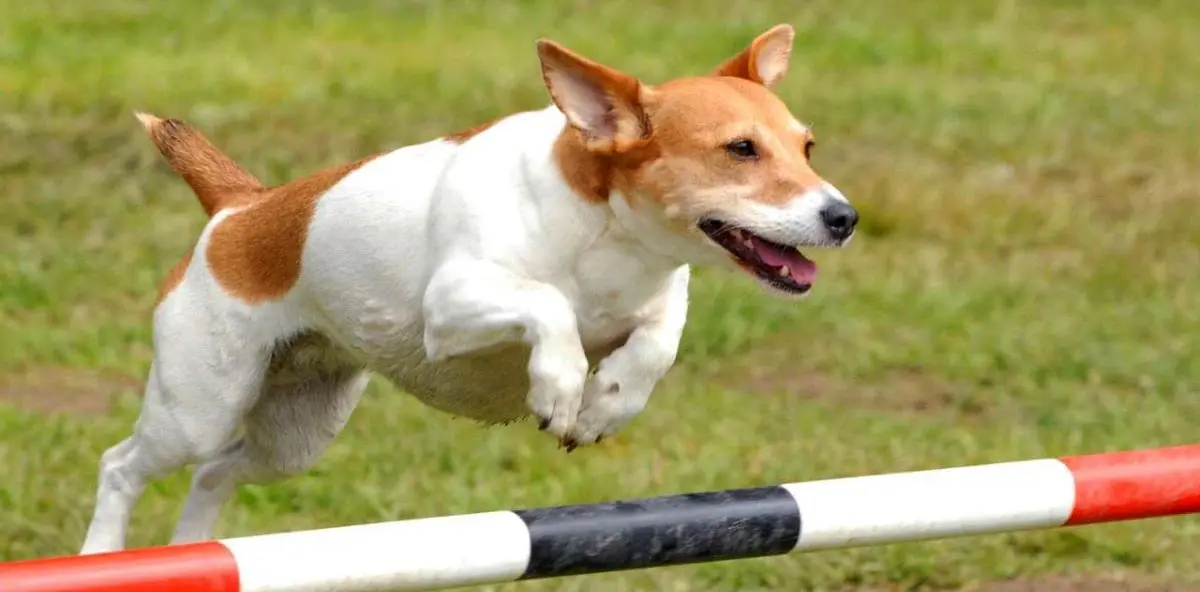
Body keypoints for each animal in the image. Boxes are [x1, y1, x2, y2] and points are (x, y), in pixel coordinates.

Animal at [79, 20, 859, 552]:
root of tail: (241, 207)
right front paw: (560, 388)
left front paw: (605, 403)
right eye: (740, 149)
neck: (606, 238)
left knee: (215, 475)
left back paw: (193, 553)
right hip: (199, 407)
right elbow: (548, 308)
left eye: (807, 147)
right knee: (123, 465)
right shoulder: (451, 311)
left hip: (297, 434)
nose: (844, 217)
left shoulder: (660, 298)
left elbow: (656, 342)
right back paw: (102, 554)